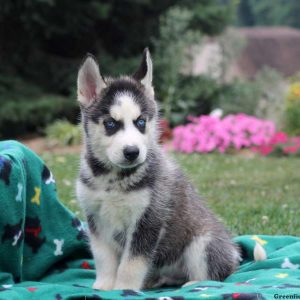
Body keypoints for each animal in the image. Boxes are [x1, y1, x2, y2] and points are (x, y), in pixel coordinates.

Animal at [75, 48, 239, 290]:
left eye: (141, 122)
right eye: (111, 124)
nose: (132, 152)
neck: (113, 180)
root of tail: (234, 253)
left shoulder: (148, 220)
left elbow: (131, 264)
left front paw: (124, 290)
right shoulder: (96, 220)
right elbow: (103, 258)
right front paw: (103, 287)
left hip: (203, 242)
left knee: (216, 274)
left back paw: (195, 284)